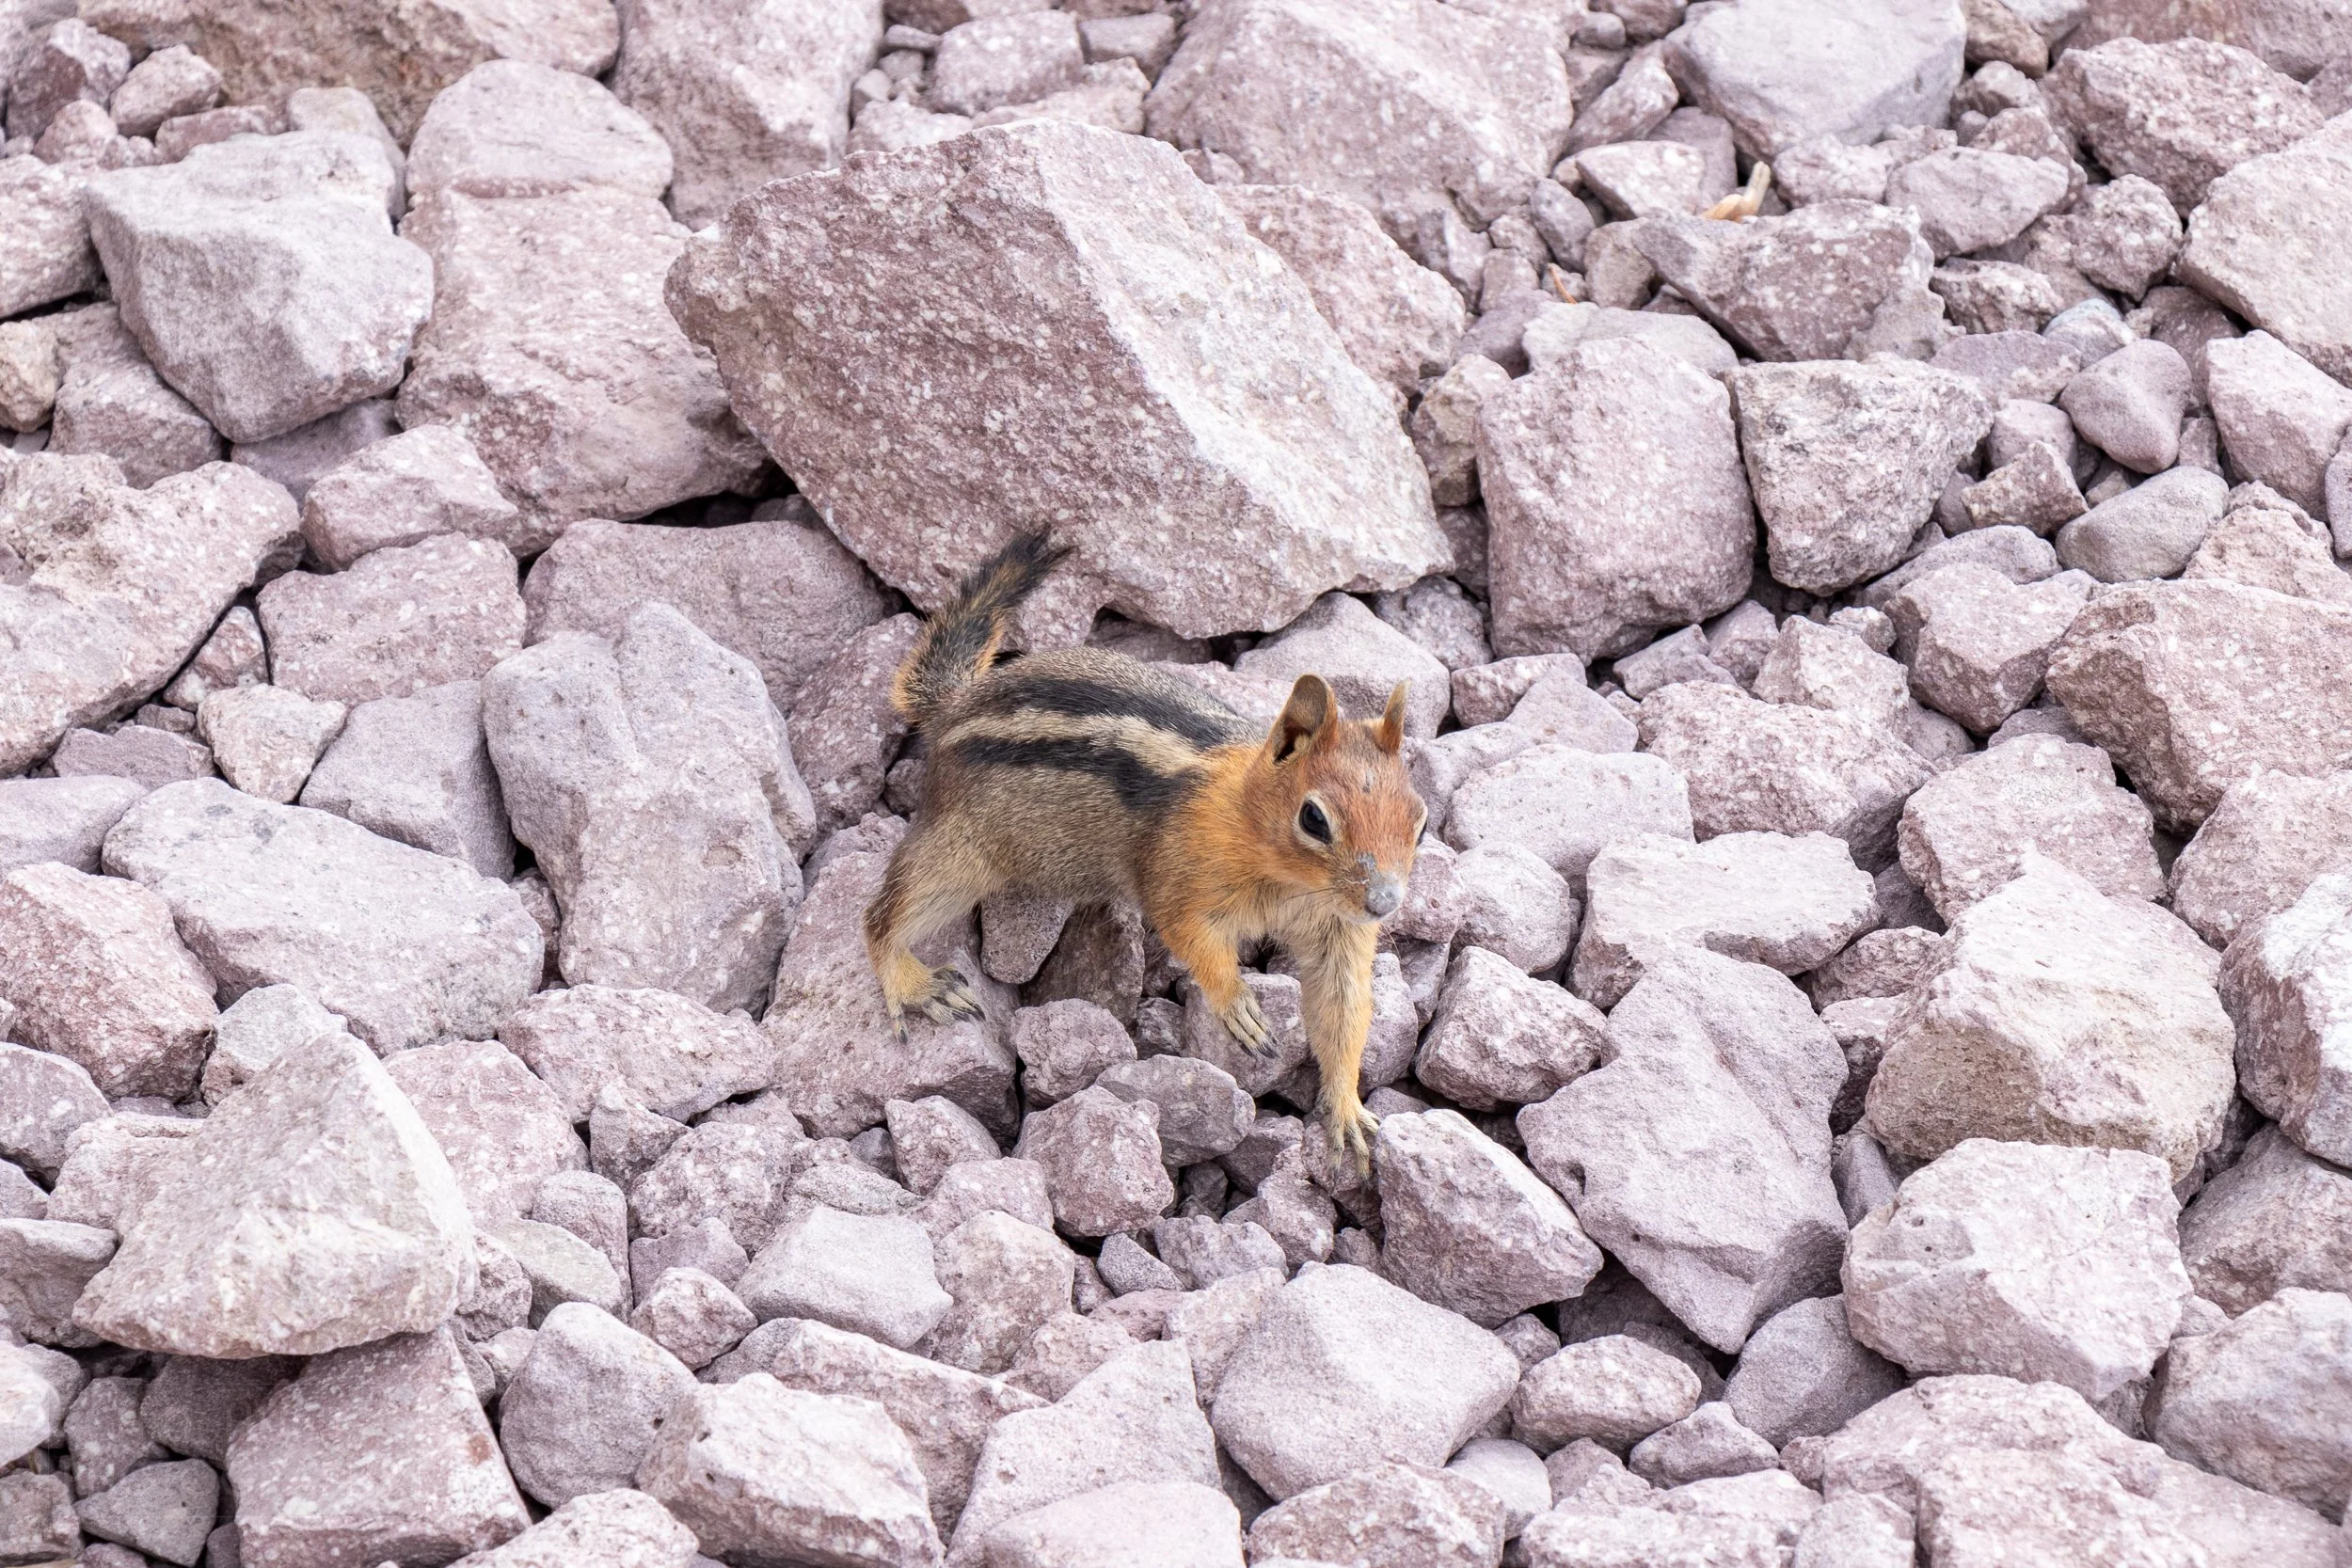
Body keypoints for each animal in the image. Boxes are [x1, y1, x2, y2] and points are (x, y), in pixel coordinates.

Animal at [862, 533, 1426, 1169]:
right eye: (1313, 818)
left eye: (1420, 820)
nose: (1384, 903)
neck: (1287, 880)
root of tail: (958, 703)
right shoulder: (1178, 878)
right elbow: (1191, 937)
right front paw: (1239, 1006)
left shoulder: (1339, 934)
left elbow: (1343, 1010)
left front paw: (1349, 1113)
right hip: (960, 851)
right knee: (883, 915)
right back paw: (915, 984)